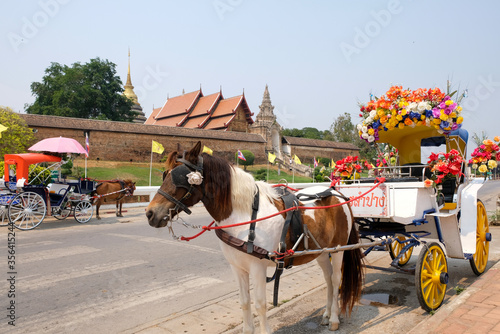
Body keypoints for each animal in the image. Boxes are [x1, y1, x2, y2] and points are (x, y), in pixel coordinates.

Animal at [145, 142, 364, 332]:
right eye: (164, 175)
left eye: (180, 177)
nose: (150, 213)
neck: (244, 214)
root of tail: (337, 193)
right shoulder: (237, 267)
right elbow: (244, 302)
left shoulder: (257, 267)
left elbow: (259, 304)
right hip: (321, 251)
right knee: (328, 279)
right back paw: (327, 314)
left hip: (338, 249)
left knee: (335, 279)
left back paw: (334, 318)